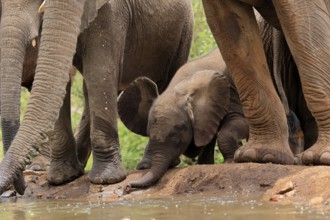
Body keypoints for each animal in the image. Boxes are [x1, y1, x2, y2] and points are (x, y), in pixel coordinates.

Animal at [0, 0, 193, 193]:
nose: (22, 188)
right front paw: (62, 178)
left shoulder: (111, 10)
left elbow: (99, 71)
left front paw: (106, 179)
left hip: (183, 32)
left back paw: (151, 165)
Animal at [117, 48, 249, 189]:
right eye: (148, 134)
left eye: (175, 137)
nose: (128, 186)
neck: (182, 85)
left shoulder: (230, 94)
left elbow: (240, 123)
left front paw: (230, 162)